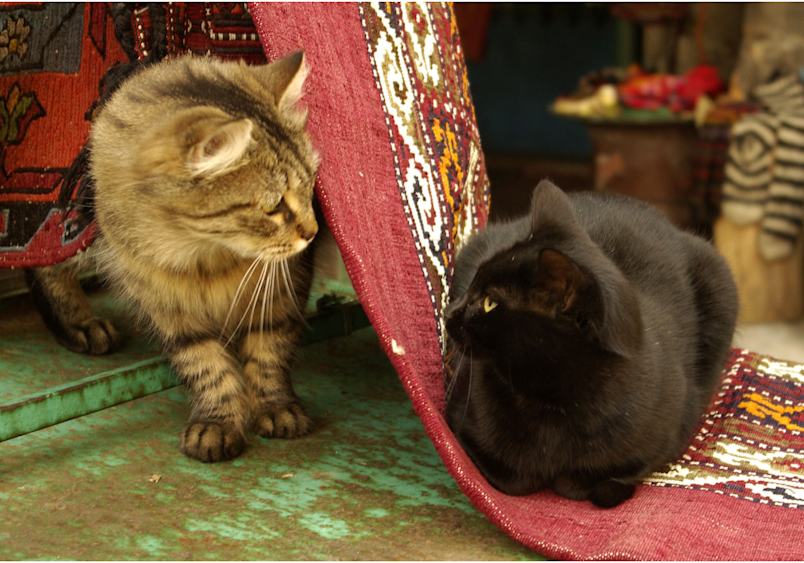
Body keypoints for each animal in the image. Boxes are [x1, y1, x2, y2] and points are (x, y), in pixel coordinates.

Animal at [25, 51, 320, 462]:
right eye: (273, 207)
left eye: (311, 186)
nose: (314, 231)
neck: (208, 257)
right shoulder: (170, 311)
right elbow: (207, 366)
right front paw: (217, 422)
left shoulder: (282, 293)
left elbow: (268, 354)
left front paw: (276, 407)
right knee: (44, 255)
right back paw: (79, 323)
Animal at [446, 182, 740, 512]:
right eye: (473, 282)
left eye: (489, 302)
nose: (448, 310)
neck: (550, 403)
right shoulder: (461, 425)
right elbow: (515, 478)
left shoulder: (669, 434)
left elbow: (598, 479)